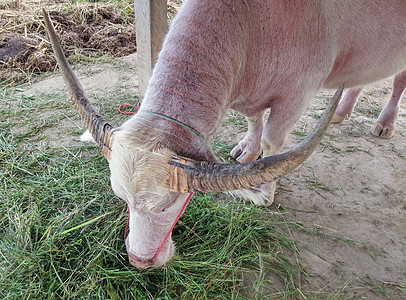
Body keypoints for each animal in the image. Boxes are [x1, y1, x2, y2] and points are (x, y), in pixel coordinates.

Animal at [42, 0, 404, 268]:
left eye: (167, 204)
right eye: (121, 198)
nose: (139, 261)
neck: (251, 25)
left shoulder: (296, 97)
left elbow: (273, 140)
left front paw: (264, 191)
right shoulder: (249, 92)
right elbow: (254, 120)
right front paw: (247, 149)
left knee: (398, 81)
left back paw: (384, 123)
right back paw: (342, 111)